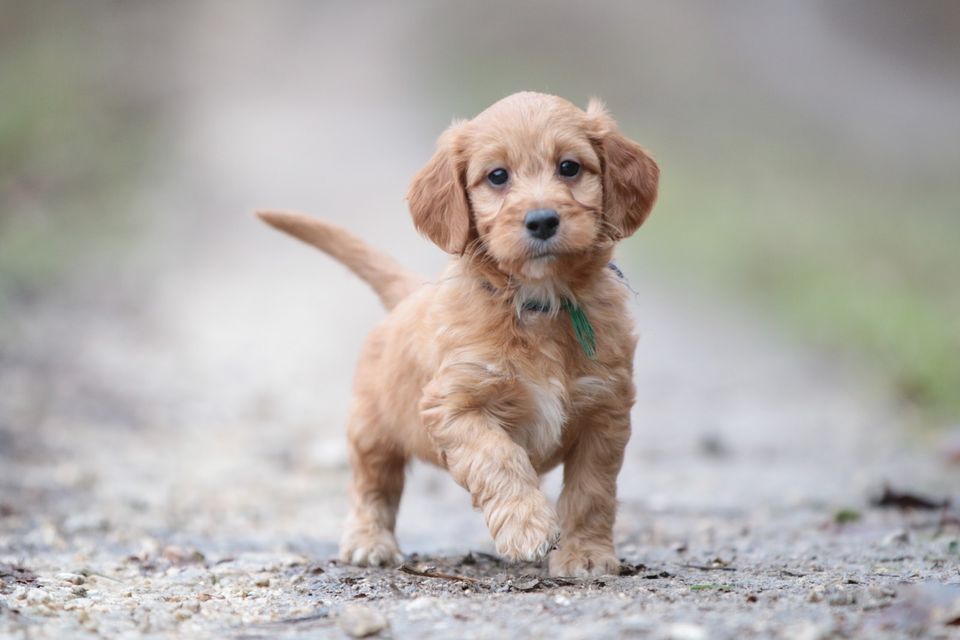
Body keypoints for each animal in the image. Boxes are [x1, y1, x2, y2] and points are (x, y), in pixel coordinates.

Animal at [258, 91, 656, 580]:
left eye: (569, 167)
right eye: (497, 176)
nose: (542, 220)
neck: (537, 303)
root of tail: (409, 291)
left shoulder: (605, 412)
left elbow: (591, 491)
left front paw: (586, 554)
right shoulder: (454, 406)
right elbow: (498, 458)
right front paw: (526, 527)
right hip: (372, 430)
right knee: (372, 487)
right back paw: (369, 542)